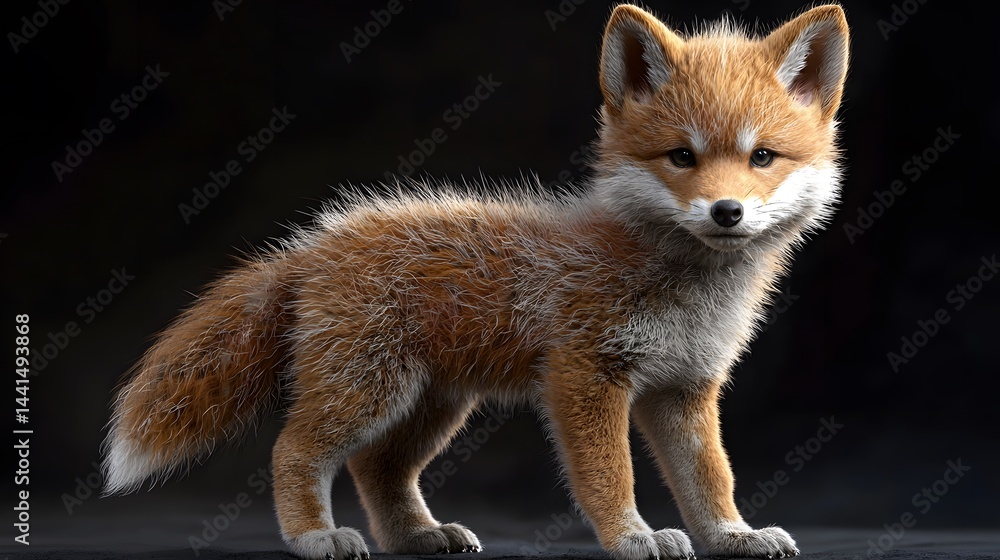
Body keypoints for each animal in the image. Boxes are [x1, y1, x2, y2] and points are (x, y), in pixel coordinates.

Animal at [103, 4, 849, 560]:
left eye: (762, 158)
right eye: (681, 157)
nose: (727, 212)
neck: (685, 288)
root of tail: (314, 241)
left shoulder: (685, 389)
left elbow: (711, 479)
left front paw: (733, 535)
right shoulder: (584, 375)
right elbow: (610, 475)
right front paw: (631, 536)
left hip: (431, 405)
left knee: (377, 470)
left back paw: (417, 535)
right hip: (370, 392)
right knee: (293, 451)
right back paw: (315, 536)